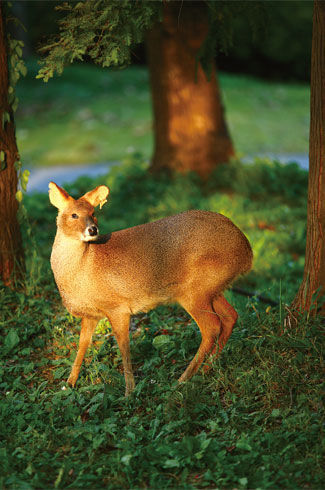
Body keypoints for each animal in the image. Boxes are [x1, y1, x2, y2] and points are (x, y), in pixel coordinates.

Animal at [48, 182, 253, 396]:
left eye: (93, 212)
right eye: (73, 215)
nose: (93, 229)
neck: (84, 268)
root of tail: (246, 251)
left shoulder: (118, 308)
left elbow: (123, 346)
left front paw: (129, 391)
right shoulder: (91, 315)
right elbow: (82, 345)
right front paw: (69, 384)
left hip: (193, 291)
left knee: (212, 327)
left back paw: (182, 379)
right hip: (211, 289)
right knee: (230, 316)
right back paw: (206, 369)